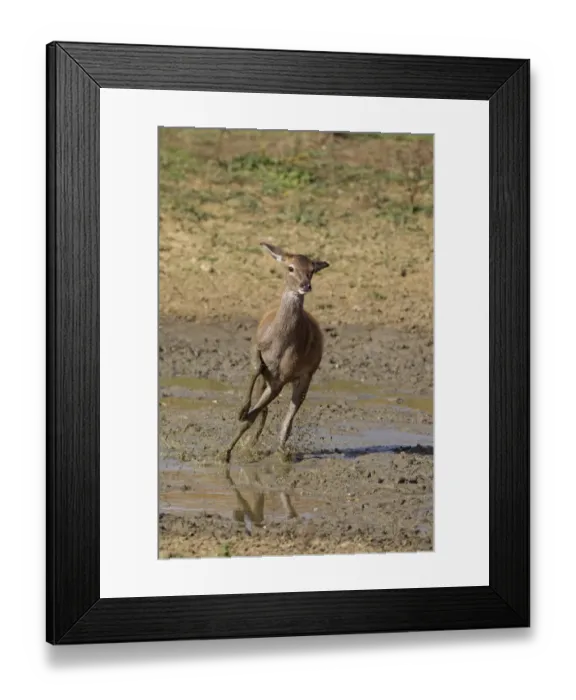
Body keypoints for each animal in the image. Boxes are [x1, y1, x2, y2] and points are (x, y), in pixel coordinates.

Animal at [222, 242, 330, 463]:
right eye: (290, 268)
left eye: (312, 270)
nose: (305, 286)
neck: (279, 343)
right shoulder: (255, 346)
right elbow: (256, 368)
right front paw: (241, 411)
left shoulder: (282, 378)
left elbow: (253, 417)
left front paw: (225, 453)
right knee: (264, 407)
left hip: (306, 376)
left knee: (289, 415)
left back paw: (281, 451)